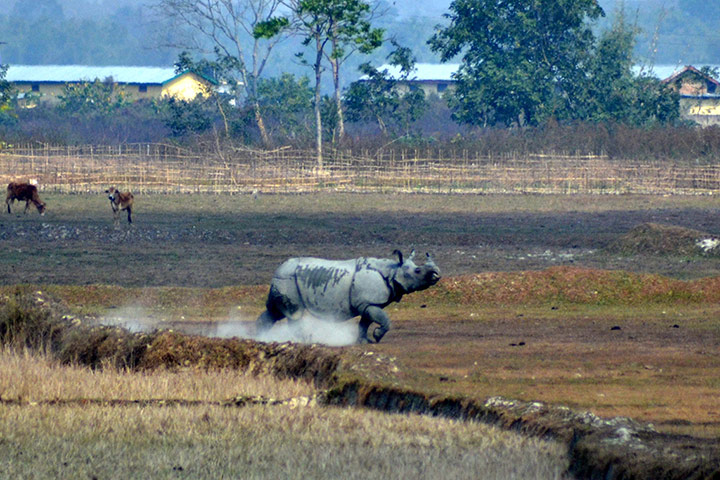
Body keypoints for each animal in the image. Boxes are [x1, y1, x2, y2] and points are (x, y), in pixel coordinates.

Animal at [256, 250, 441, 343]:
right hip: (288, 279)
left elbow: (365, 322)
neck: (393, 270)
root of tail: (277, 270)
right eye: (418, 271)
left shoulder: (368, 303)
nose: (437, 275)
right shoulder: (368, 302)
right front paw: (377, 336)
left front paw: (364, 341)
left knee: (274, 312)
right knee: (294, 313)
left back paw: (257, 336)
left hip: (284, 279)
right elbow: (384, 319)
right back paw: (306, 340)